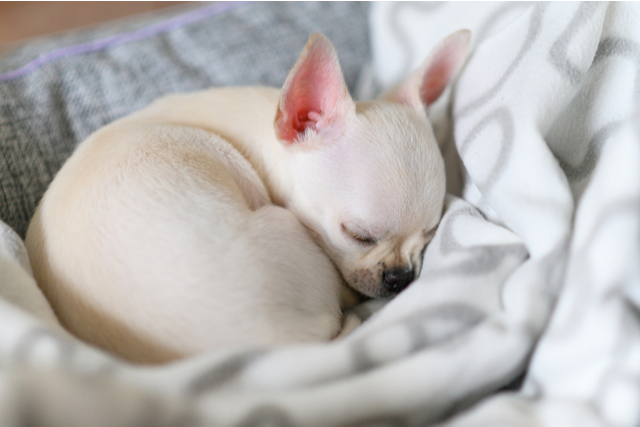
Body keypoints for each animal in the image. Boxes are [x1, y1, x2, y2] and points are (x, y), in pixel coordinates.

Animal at [23, 30, 470, 364]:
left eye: (430, 234)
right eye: (358, 234)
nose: (401, 277)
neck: (265, 134)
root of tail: (288, 348)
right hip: (284, 228)